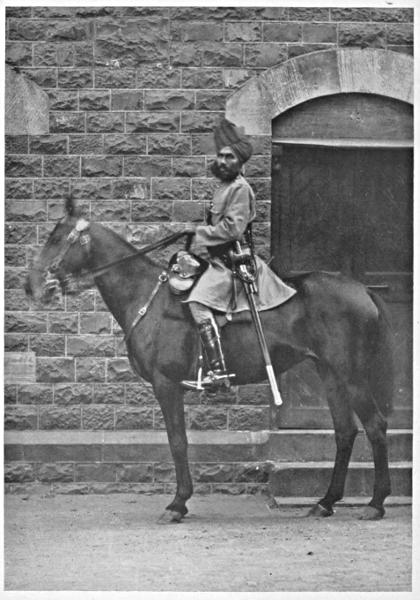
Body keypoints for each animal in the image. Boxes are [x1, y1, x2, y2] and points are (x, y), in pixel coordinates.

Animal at [26, 197, 395, 522]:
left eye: (56, 237)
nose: (32, 287)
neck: (146, 297)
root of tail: (362, 290)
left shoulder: (166, 385)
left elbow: (178, 442)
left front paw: (178, 503)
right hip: (329, 373)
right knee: (345, 431)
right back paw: (326, 501)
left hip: (352, 376)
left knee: (375, 426)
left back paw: (375, 503)